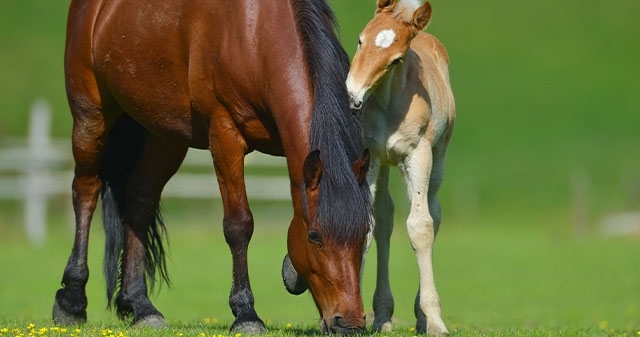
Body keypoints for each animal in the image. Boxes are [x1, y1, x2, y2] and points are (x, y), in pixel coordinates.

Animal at [55, 0, 372, 332]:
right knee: (86, 191)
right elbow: (239, 224)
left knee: (139, 202)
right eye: (314, 236)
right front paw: (246, 314)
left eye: (364, 233)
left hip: (164, 135)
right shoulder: (225, 135)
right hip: (90, 115)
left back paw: (141, 307)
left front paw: (291, 274)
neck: (258, 35)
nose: (350, 322)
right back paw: (72, 300)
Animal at [344, 0, 456, 334]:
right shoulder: (369, 155)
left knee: (434, 213)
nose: (352, 96)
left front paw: (435, 321)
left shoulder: (418, 155)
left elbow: (421, 227)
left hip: (438, 157)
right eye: (360, 40)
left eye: (397, 59)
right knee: (384, 219)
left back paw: (420, 315)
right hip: (383, 165)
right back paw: (382, 316)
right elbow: (367, 224)